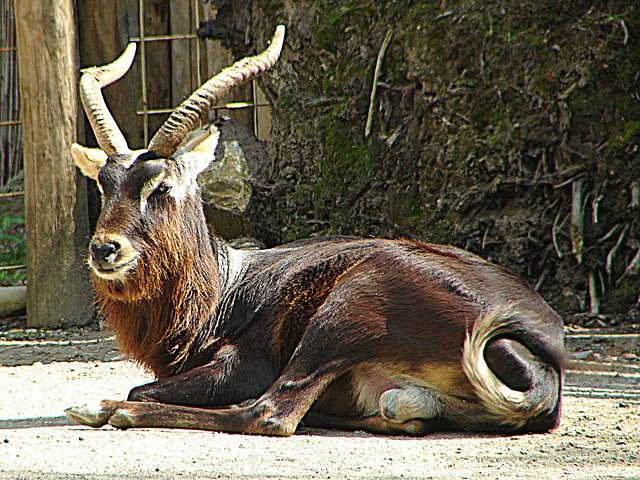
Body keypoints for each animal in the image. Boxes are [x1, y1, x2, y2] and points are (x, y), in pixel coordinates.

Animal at [66, 27, 564, 438]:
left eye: (161, 185)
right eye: (103, 182)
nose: (105, 249)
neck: (226, 286)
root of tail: (539, 356)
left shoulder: (242, 365)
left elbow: (142, 388)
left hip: (343, 312)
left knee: (269, 414)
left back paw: (105, 408)